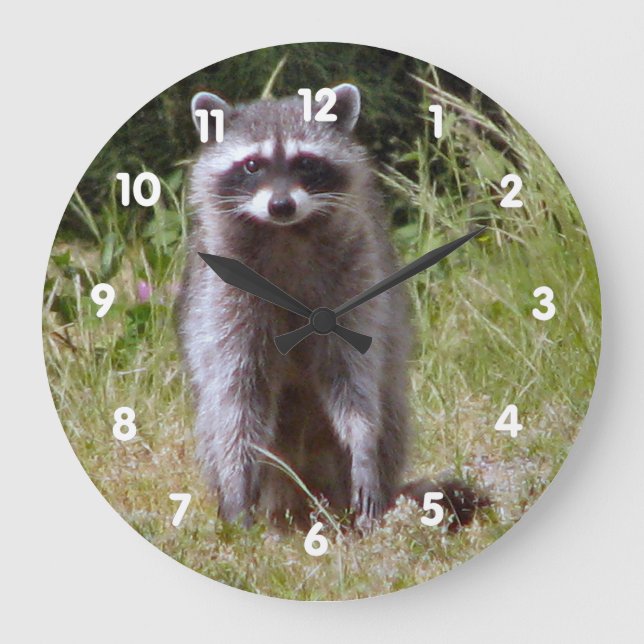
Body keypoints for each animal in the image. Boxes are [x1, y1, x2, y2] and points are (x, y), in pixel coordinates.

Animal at [177, 84, 485, 530]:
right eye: (252, 165)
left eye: (306, 163)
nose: (281, 206)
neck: (286, 234)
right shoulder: (225, 299)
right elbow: (238, 397)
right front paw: (236, 483)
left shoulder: (356, 277)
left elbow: (354, 381)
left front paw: (363, 446)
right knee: (214, 420)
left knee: (390, 414)